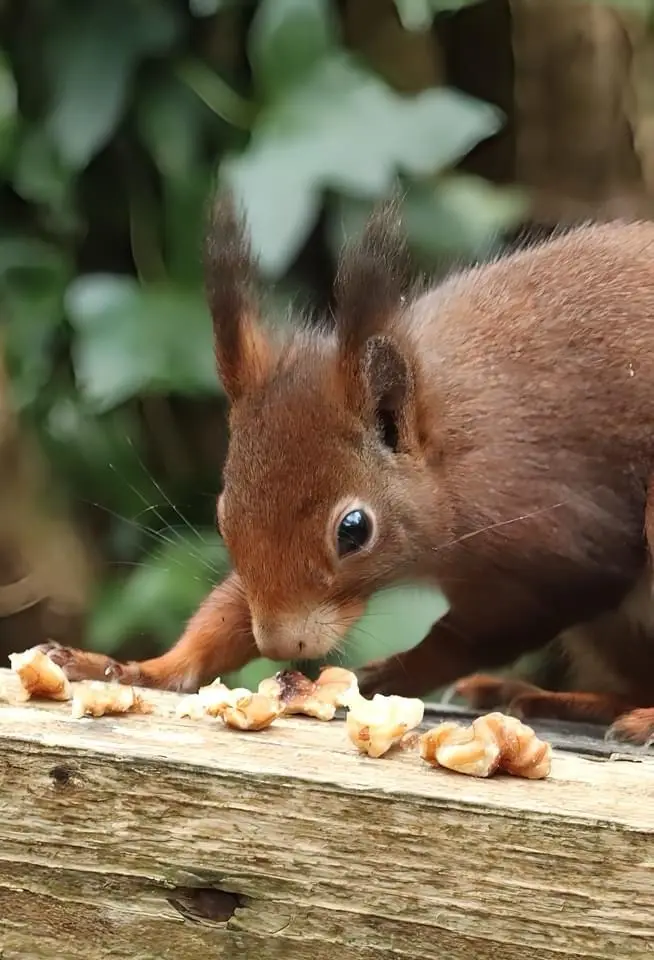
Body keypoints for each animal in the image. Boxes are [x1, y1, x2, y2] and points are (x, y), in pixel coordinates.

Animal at [39, 193, 654, 745]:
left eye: (354, 530)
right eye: (222, 515)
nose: (281, 646)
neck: (446, 456)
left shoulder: (555, 544)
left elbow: (471, 635)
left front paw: (382, 674)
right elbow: (225, 617)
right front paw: (130, 668)